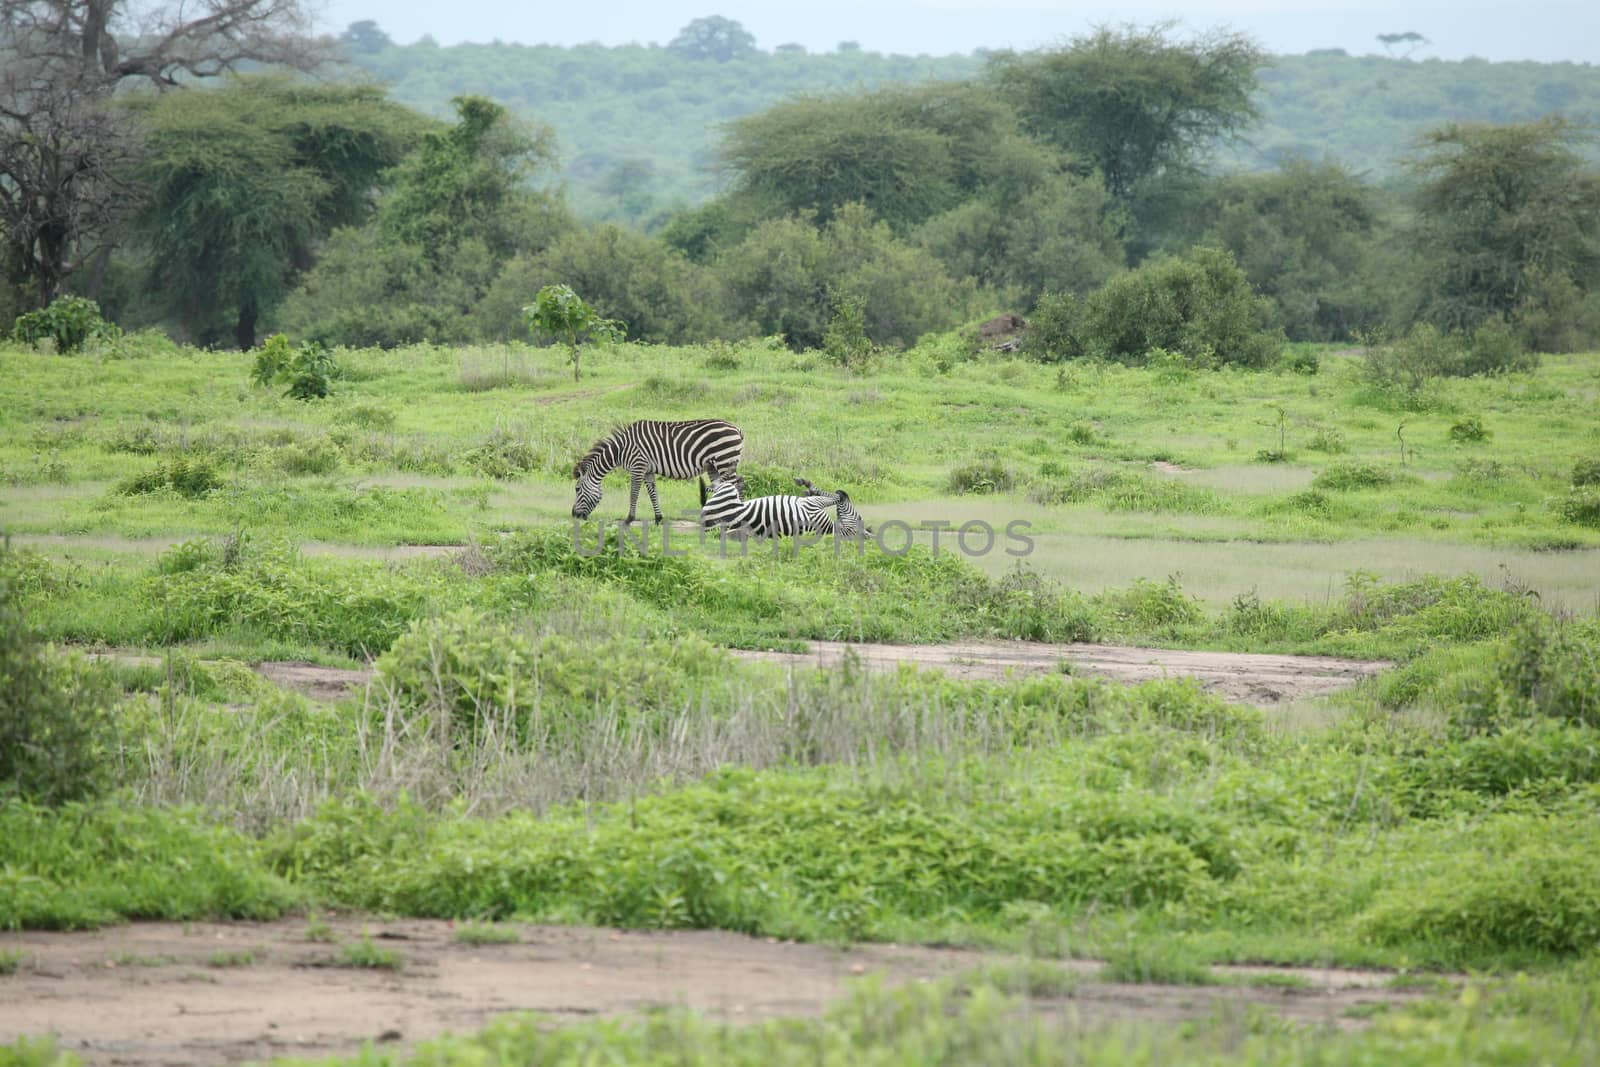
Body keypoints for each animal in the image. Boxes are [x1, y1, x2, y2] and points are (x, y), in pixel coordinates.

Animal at [576, 419, 742, 524]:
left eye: (577, 489)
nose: (574, 515)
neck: (621, 450)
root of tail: (737, 428)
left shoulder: (638, 466)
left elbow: (634, 494)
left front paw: (629, 519)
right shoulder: (647, 471)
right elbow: (652, 493)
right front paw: (658, 518)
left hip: (725, 460)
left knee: (735, 484)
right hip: (714, 465)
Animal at [700, 473, 876, 543]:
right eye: (860, 517)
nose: (844, 492)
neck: (831, 530)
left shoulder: (813, 505)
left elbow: (831, 498)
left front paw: (809, 487)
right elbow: (830, 497)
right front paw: (808, 487)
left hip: (727, 493)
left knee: (720, 485)